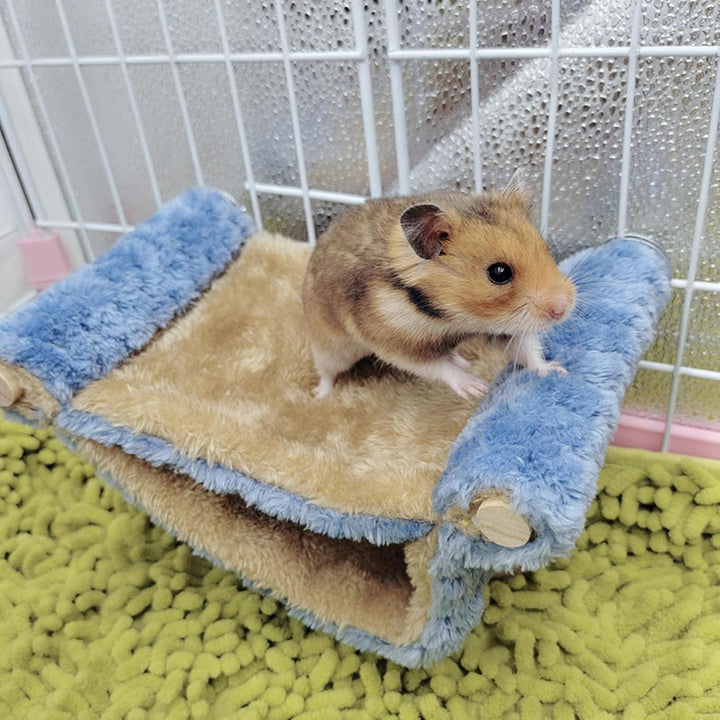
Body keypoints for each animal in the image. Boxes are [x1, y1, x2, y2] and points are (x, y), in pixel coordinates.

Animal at [302, 183, 576, 399]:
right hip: (329, 348)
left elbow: (526, 349)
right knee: (327, 372)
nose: (563, 310)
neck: (453, 317)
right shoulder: (396, 345)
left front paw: (557, 371)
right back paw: (319, 395)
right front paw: (478, 388)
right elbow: (438, 366)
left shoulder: (501, 326)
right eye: (499, 272)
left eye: (545, 248)